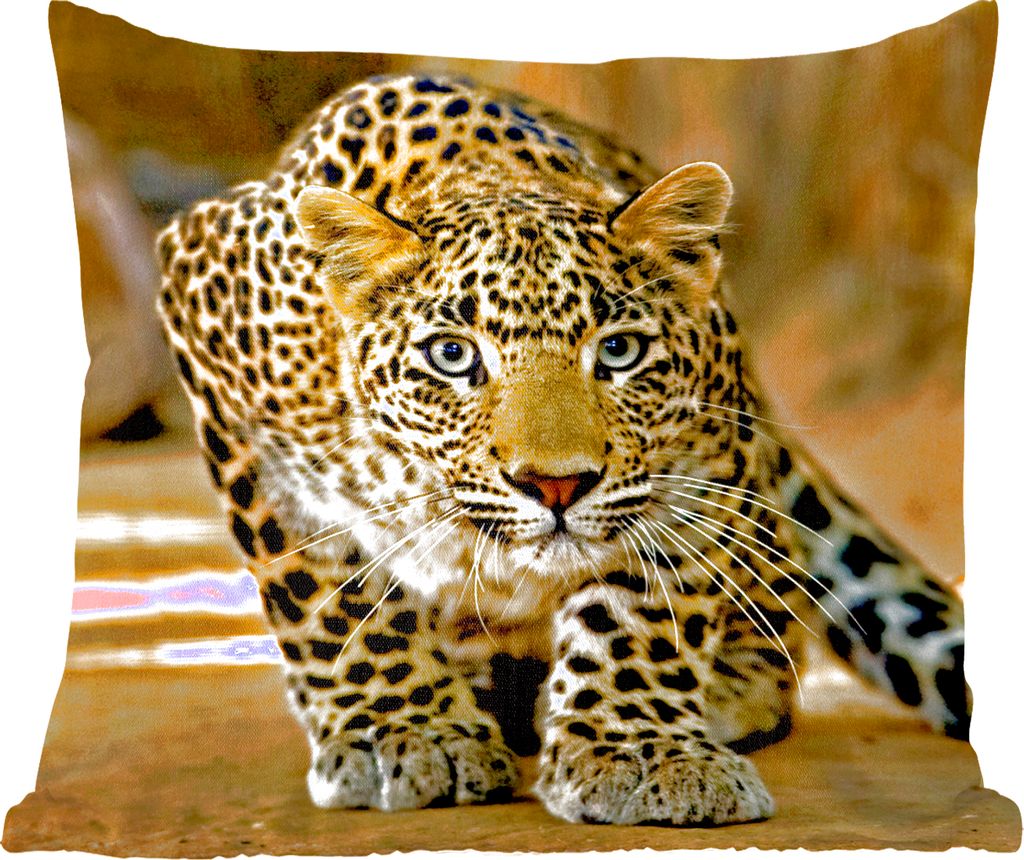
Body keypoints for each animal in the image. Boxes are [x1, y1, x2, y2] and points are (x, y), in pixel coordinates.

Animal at [156, 72, 968, 826]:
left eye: (618, 351)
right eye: (452, 356)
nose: (556, 487)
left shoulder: (698, 456)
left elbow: (642, 607)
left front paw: (641, 750)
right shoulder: (210, 328)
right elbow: (326, 593)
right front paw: (403, 734)